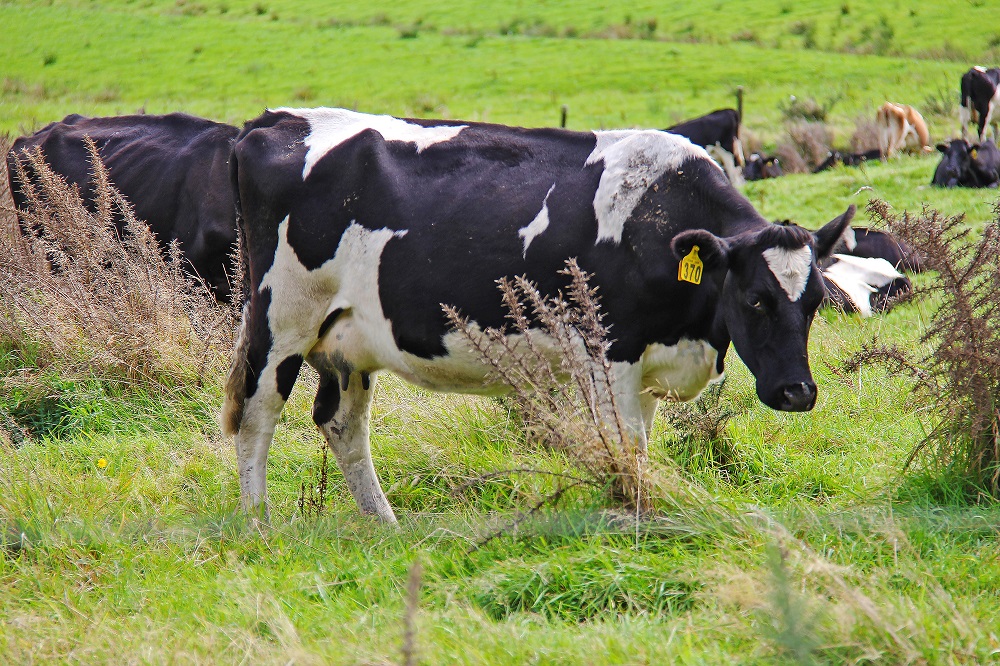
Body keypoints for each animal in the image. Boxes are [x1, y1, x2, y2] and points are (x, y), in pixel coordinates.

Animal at [223, 106, 856, 520]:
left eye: (816, 302)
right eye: (756, 298)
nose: (798, 392)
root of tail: (275, 120)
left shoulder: (651, 364)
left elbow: (641, 445)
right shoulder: (609, 354)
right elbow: (625, 445)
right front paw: (629, 516)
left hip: (346, 340)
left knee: (341, 423)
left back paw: (385, 527)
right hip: (281, 320)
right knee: (257, 413)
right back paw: (259, 527)